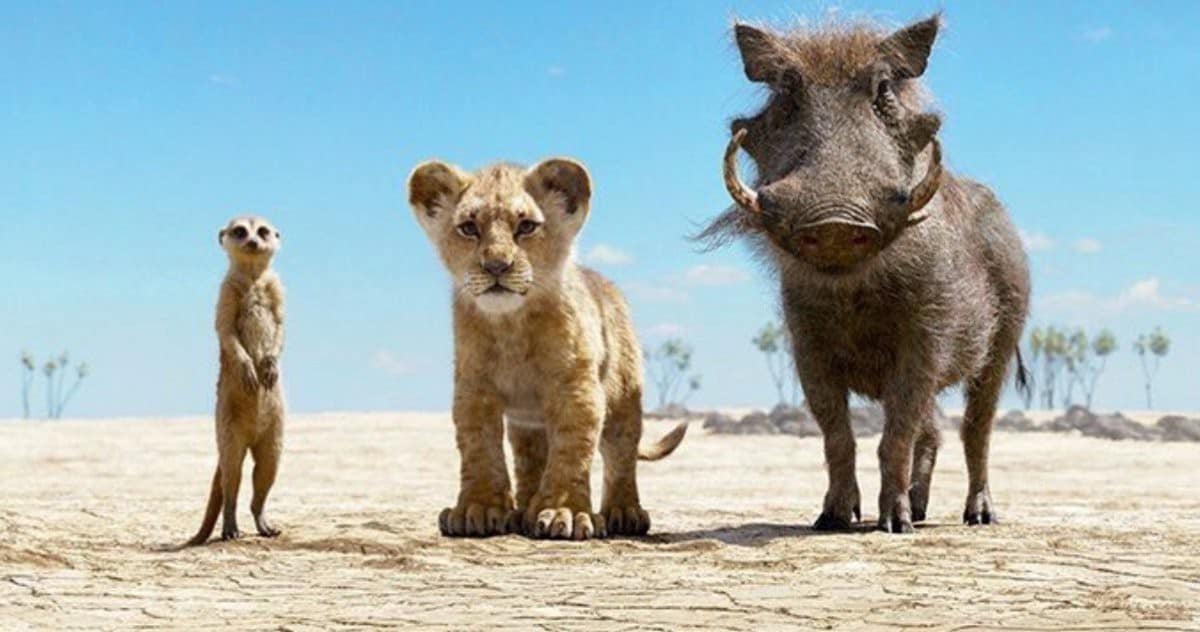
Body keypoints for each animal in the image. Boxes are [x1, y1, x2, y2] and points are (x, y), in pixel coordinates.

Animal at [407, 158, 686, 540]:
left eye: (526, 226)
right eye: (468, 228)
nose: (496, 266)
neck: (511, 325)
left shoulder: (576, 387)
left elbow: (571, 449)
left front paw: (563, 512)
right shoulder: (474, 389)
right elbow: (479, 448)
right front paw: (478, 509)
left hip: (623, 399)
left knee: (620, 454)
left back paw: (624, 512)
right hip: (527, 423)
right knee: (530, 459)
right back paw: (523, 511)